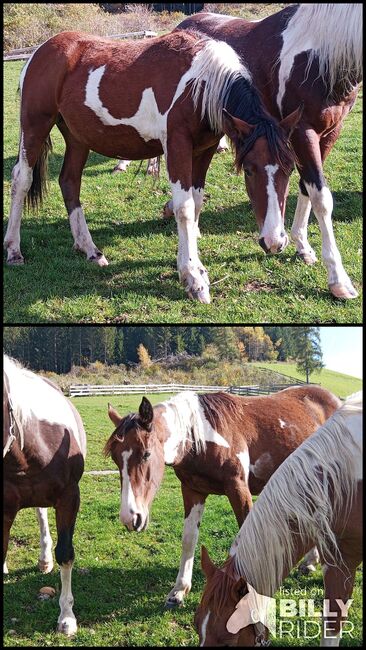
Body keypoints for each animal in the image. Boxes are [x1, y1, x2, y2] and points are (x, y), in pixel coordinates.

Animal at [3, 29, 300, 302]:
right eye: (249, 170)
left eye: (290, 169)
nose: (275, 242)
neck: (199, 83)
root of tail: (41, 51)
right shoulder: (177, 145)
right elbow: (184, 208)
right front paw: (193, 277)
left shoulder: (205, 150)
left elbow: (196, 202)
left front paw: (193, 265)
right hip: (35, 125)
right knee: (21, 180)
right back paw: (14, 250)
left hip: (77, 137)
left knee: (69, 181)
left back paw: (89, 249)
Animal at [103, 382, 340, 604]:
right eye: (115, 459)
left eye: (146, 454)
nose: (130, 518)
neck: (200, 439)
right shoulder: (192, 491)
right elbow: (189, 539)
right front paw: (179, 590)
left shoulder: (238, 488)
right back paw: (311, 561)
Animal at [177, 3, 364, 298]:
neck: (319, 55)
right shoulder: (302, 131)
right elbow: (322, 199)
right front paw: (339, 279)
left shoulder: (330, 132)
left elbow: (306, 187)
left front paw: (302, 246)